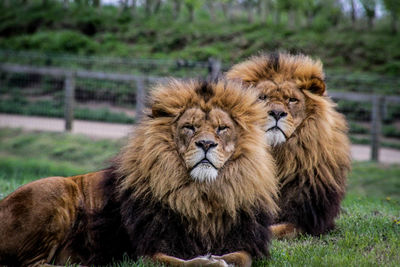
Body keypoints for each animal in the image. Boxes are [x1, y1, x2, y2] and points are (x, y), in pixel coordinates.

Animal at [0, 79, 278, 267]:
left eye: (222, 128)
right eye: (189, 127)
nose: (206, 144)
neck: (201, 195)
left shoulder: (244, 241)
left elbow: (242, 257)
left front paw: (221, 258)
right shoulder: (147, 250)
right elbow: (179, 262)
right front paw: (211, 261)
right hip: (55, 189)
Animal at [227, 51, 352, 239]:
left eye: (292, 100)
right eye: (262, 97)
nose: (277, 113)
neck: (280, 155)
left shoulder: (308, 221)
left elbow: (277, 229)